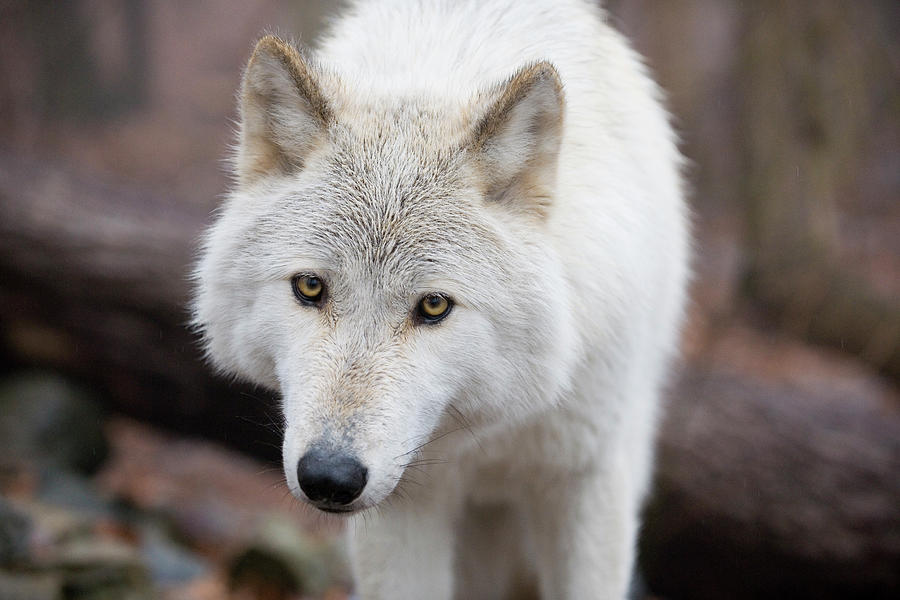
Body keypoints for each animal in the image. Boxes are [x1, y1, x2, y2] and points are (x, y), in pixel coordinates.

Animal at [195, 1, 688, 596]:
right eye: (310, 287)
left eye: (434, 306)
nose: (330, 477)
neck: (486, 430)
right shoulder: (405, 509)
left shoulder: (586, 482)